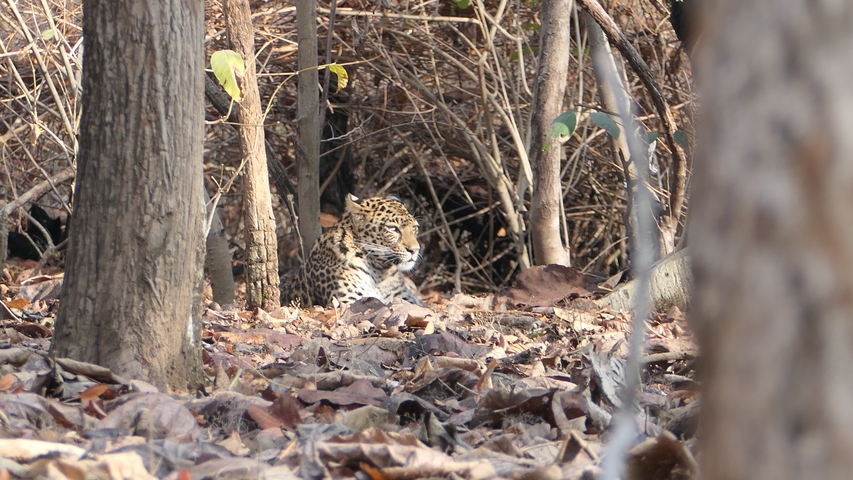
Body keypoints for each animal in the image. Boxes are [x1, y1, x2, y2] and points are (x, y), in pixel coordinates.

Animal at [280, 195, 421, 307]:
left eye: (415, 227)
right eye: (393, 228)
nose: (415, 250)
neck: (379, 273)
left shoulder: (404, 298)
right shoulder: (348, 301)